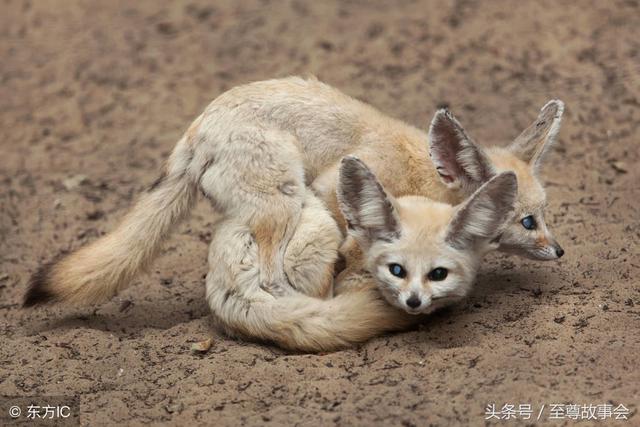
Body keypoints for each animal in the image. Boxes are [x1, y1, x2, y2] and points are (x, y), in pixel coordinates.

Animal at [23, 76, 564, 310]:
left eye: (544, 215)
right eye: (527, 222)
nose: (559, 250)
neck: (424, 174)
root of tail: (198, 128)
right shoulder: (335, 189)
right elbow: (349, 249)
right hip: (284, 202)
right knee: (270, 274)